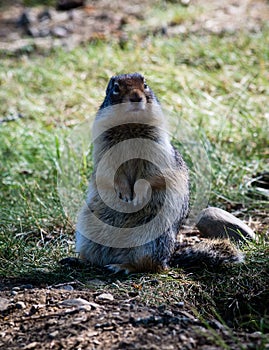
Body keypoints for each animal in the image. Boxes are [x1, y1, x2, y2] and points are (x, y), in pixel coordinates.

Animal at [75, 72, 243, 272]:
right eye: (115, 87)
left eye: (145, 84)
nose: (136, 97)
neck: (130, 127)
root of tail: (169, 259)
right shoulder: (104, 148)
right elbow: (110, 172)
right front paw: (124, 194)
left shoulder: (157, 149)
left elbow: (151, 174)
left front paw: (138, 195)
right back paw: (81, 260)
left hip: (150, 241)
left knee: (149, 264)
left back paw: (122, 266)